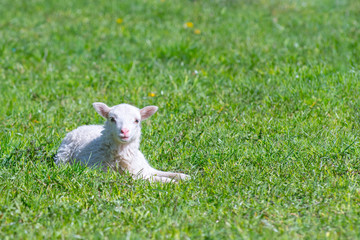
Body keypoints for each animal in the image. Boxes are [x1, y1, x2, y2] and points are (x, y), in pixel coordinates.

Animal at [54, 102, 190, 183]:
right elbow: (150, 178)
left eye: (137, 120)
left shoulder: (142, 168)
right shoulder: (118, 173)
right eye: (112, 119)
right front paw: (170, 182)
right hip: (62, 157)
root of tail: (81, 127)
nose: (124, 131)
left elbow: (162, 173)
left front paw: (183, 176)